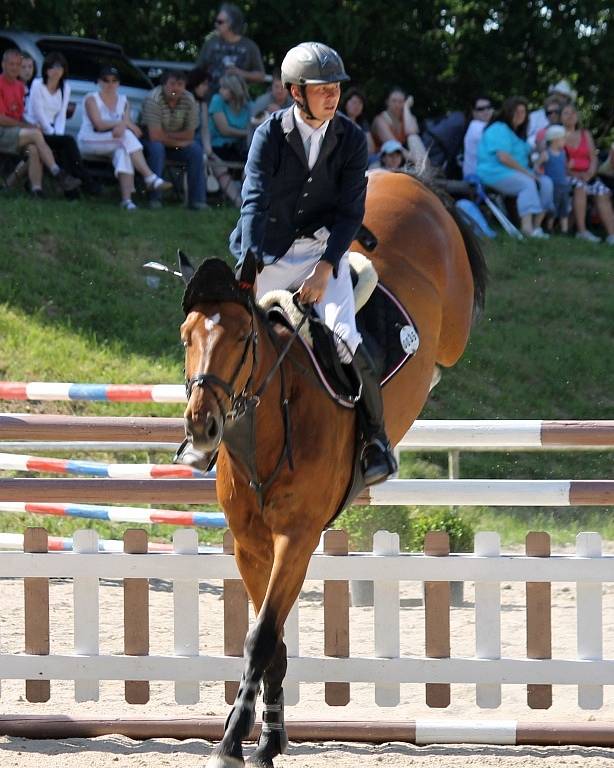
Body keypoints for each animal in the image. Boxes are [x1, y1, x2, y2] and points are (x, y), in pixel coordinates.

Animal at [176, 170, 488, 768]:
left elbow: (261, 637)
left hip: (455, 321)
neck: (263, 433)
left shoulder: (296, 539)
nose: (202, 428)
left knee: (452, 342)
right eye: (187, 337)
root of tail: (408, 179)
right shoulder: (251, 545)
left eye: (243, 339)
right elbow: (270, 639)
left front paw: (231, 741)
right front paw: (268, 739)